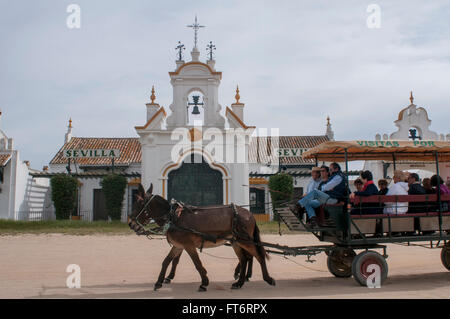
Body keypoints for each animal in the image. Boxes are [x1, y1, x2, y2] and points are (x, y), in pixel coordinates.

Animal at [126, 184, 274, 294]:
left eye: (139, 203)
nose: (130, 224)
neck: (173, 217)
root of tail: (249, 214)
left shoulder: (188, 245)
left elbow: (197, 263)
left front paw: (204, 283)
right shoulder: (178, 246)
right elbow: (166, 261)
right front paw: (159, 282)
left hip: (245, 240)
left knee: (258, 256)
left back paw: (268, 279)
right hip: (236, 242)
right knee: (244, 259)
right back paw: (239, 283)